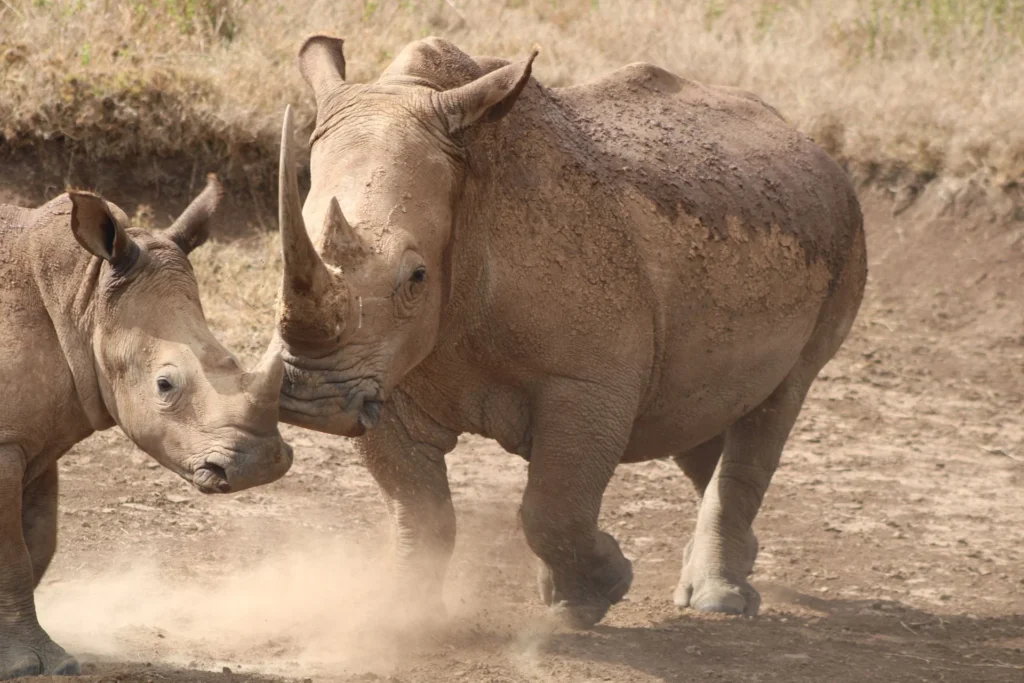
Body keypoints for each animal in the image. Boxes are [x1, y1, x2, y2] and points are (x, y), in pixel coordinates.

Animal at [0, 176, 293, 678]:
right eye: (164, 384)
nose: (259, 466)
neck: (82, 295)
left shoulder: (33, 435)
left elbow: (38, 541)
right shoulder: (6, 441)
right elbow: (13, 554)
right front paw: (30, 666)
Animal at [275, 36, 867, 628]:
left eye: (417, 278)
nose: (312, 400)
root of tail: (812, 146)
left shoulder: (586, 382)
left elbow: (553, 503)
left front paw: (595, 594)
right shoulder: (381, 370)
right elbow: (417, 507)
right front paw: (402, 615)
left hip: (843, 234)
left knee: (778, 401)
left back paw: (718, 600)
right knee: (699, 410)